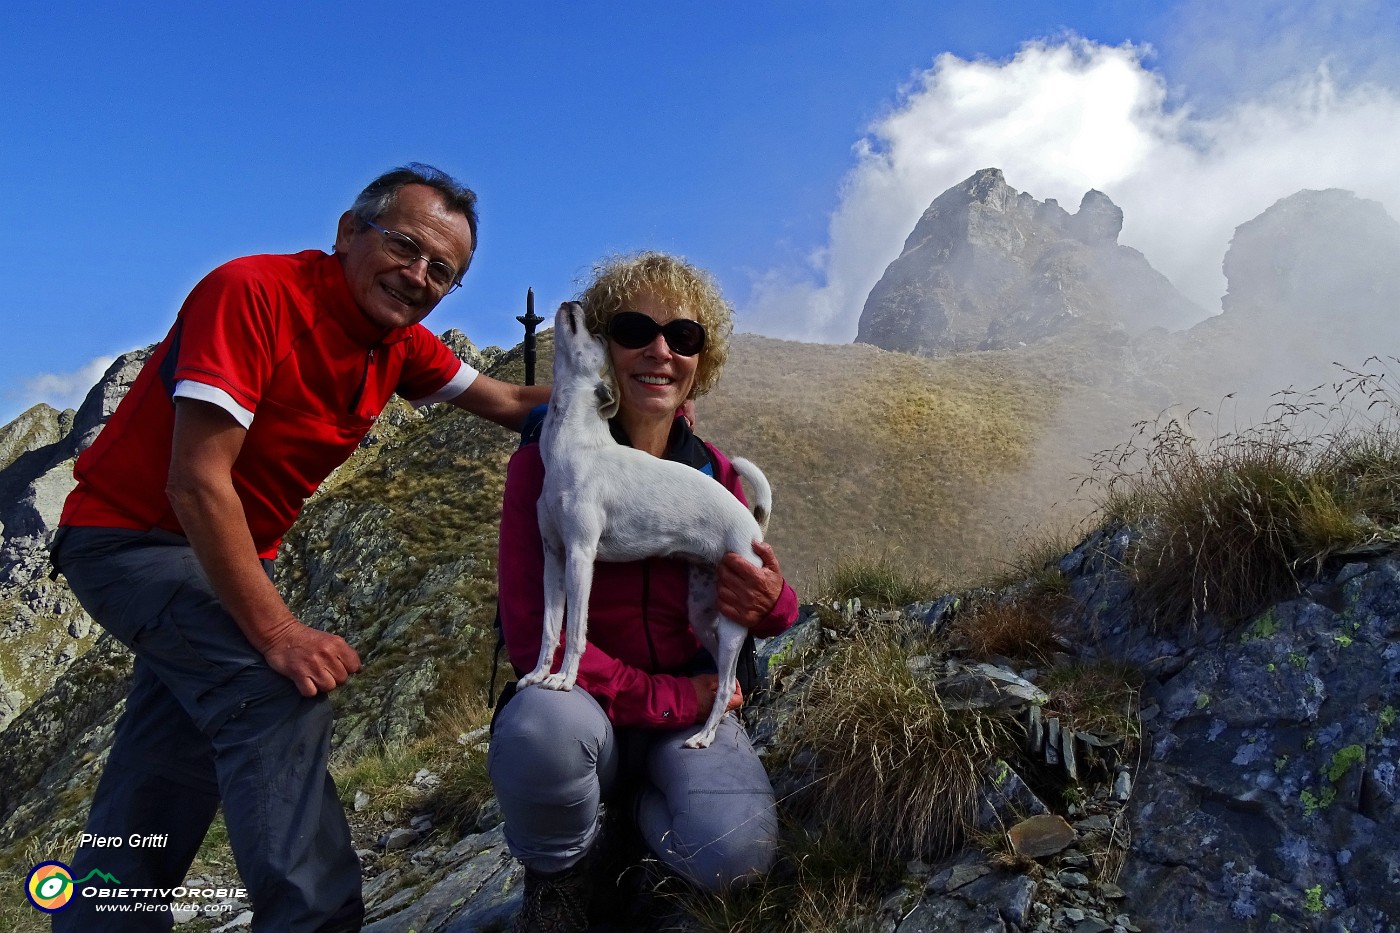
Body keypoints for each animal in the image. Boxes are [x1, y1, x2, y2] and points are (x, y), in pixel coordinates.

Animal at [518, 301, 778, 745]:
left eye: (597, 335)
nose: (575, 304)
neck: (572, 446)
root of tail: (752, 525)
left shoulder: (581, 556)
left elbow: (576, 632)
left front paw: (565, 679)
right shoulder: (554, 557)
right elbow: (550, 629)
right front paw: (538, 674)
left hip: (732, 622)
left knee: (727, 682)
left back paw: (704, 737)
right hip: (702, 614)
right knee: (720, 678)